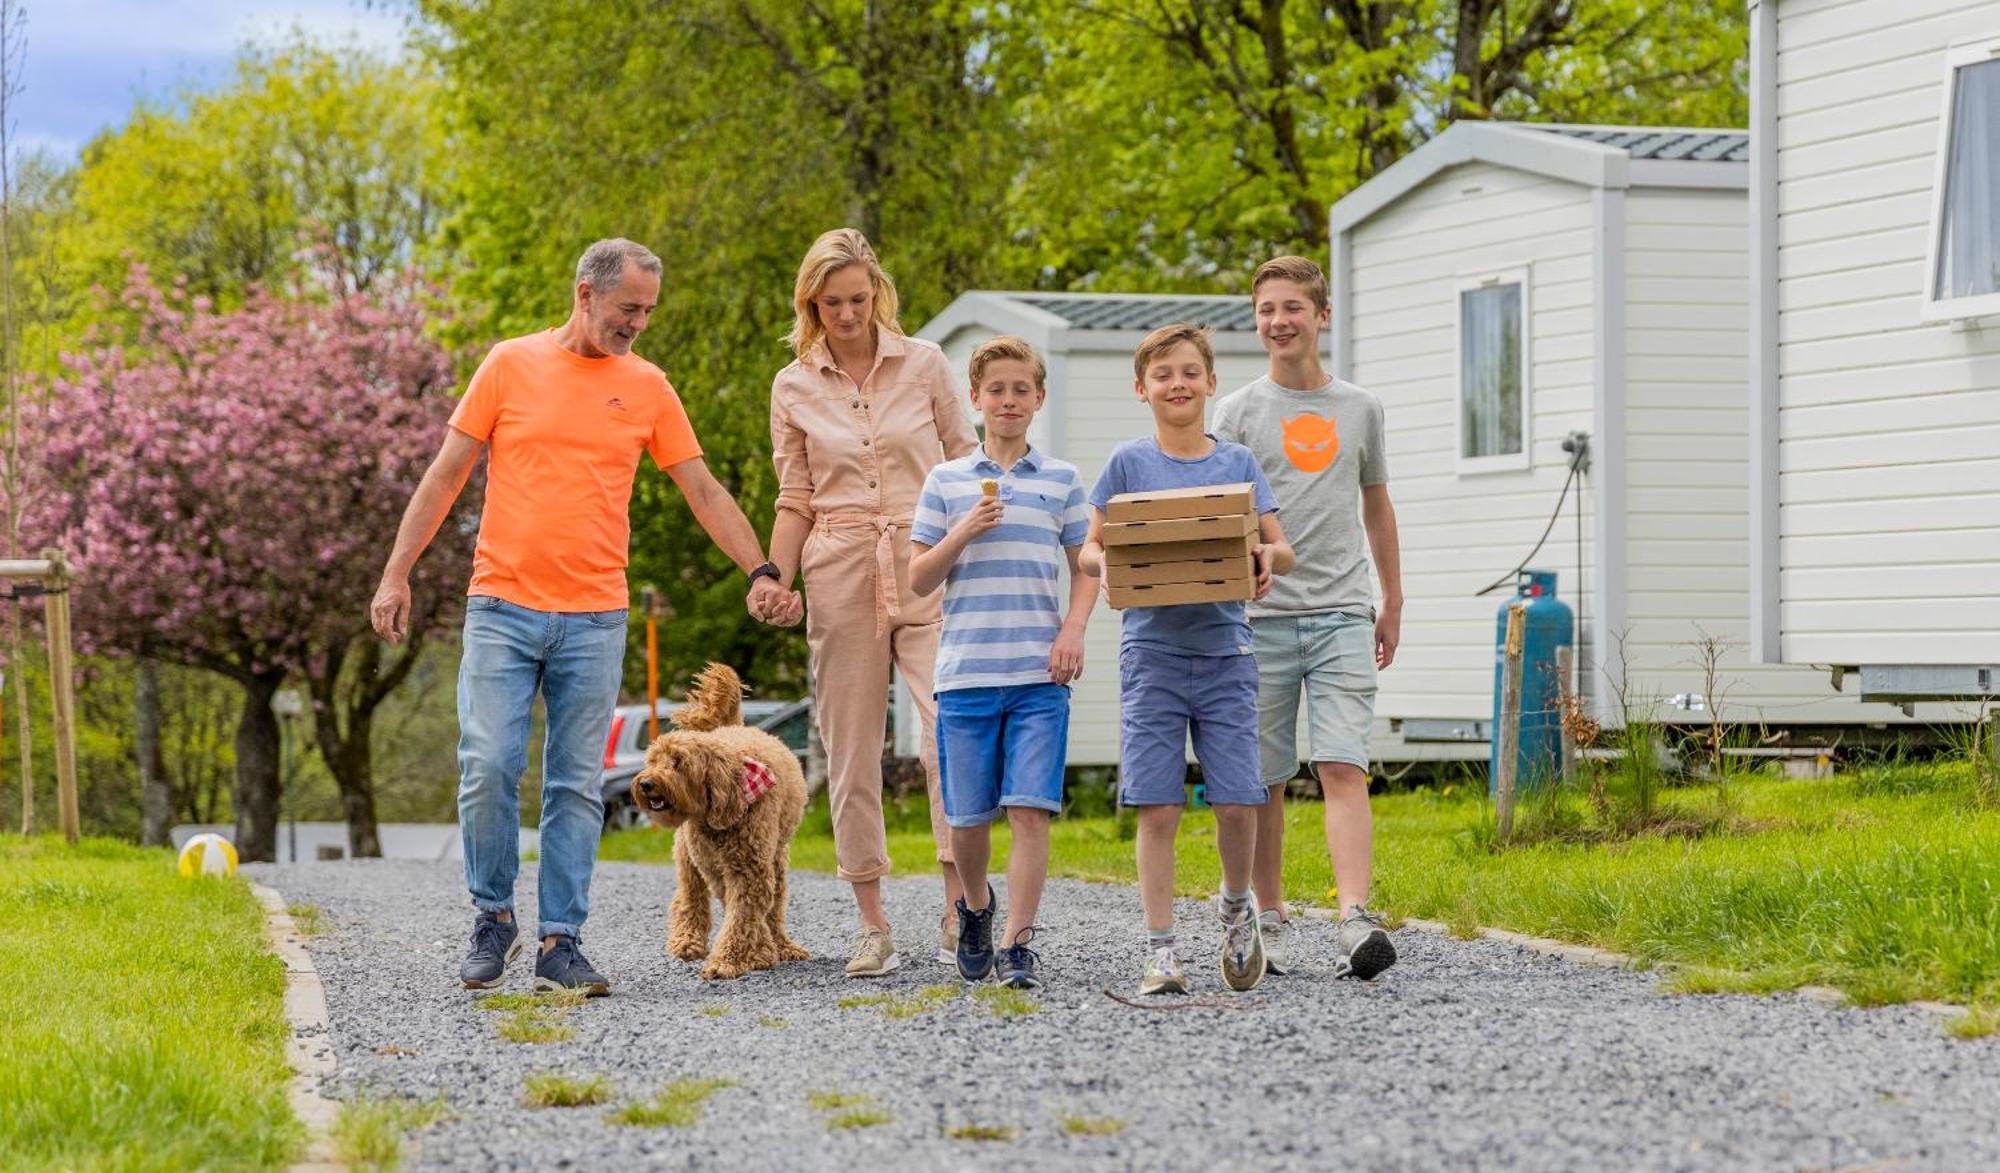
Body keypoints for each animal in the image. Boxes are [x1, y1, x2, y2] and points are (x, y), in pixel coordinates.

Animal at [628, 656, 808, 976]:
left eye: (678, 762)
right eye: (653, 760)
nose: (646, 783)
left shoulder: (749, 869)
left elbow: (746, 912)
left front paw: (735, 958)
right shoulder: (715, 867)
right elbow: (740, 912)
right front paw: (752, 954)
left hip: (775, 858)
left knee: (775, 905)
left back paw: (782, 944)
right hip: (689, 858)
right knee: (690, 897)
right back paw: (687, 942)